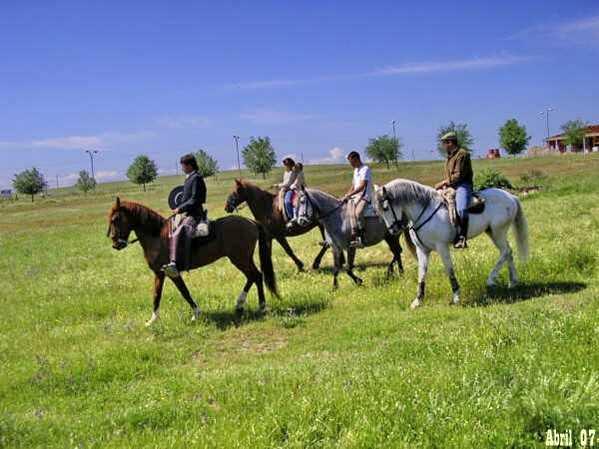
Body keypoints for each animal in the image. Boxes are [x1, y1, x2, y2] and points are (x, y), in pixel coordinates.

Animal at [107, 197, 278, 326]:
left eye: (115, 219)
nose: (115, 244)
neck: (157, 236)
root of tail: (251, 222)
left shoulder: (172, 273)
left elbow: (184, 292)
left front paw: (196, 314)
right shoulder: (159, 273)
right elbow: (156, 295)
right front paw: (152, 320)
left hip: (239, 259)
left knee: (256, 276)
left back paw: (261, 307)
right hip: (243, 259)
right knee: (254, 276)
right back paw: (241, 305)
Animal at [373, 179, 529, 309]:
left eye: (386, 207)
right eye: (378, 211)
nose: (393, 230)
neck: (423, 212)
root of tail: (511, 197)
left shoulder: (442, 247)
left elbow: (450, 271)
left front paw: (456, 297)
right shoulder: (422, 250)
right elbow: (421, 274)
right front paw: (417, 301)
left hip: (498, 232)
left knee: (505, 252)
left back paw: (491, 279)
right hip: (493, 232)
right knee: (508, 252)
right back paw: (513, 282)